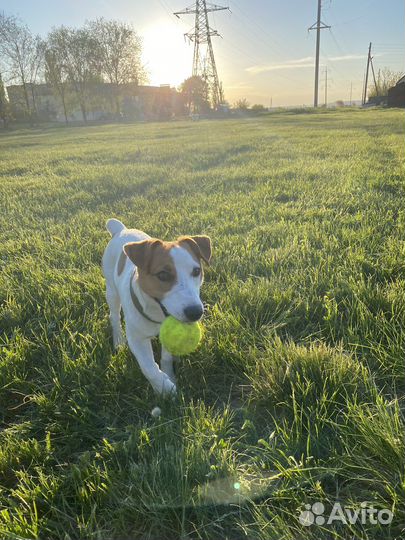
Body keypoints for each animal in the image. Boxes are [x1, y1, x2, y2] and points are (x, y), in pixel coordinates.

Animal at [102, 218, 211, 396]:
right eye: (163, 275)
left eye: (196, 271)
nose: (196, 312)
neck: (157, 316)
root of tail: (121, 229)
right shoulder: (137, 339)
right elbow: (149, 367)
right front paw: (165, 388)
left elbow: (166, 357)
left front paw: (169, 375)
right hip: (111, 290)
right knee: (114, 316)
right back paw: (118, 340)